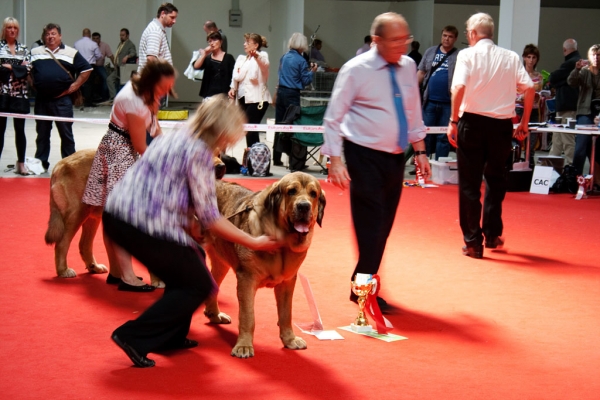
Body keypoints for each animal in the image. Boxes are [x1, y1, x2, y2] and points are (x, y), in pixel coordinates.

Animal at [45, 148, 227, 280]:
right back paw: (63, 271)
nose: (221, 167)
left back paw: (94, 267)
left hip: (92, 215)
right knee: (62, 243)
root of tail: (61, 163)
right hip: (77, 213)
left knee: (84, 244)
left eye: (219, 154)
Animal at [203, 173, 326, 360]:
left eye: (314, 194)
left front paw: (290, 340)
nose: (304, 206)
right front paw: (244, 346)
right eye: (291, 191)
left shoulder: (287, 282)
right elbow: (248, 317)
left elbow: (286, 314)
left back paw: (215, 315)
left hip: (220, 262)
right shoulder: (246, 279)